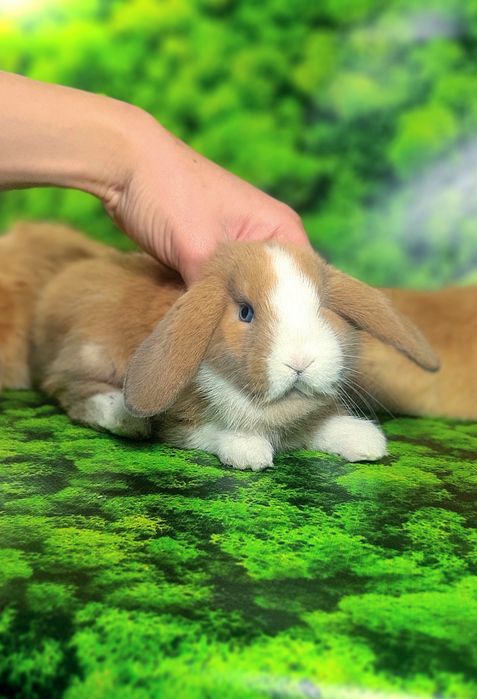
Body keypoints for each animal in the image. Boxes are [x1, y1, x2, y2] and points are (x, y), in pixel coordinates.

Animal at [0, 222, 439, 471]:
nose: (300, 361)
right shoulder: (180, 424)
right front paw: (250, 453)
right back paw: (126, 417)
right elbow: (213, 432)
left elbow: (322, 426)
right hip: (89, 355)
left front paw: (366, 442)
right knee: (71, 391)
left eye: (323, 307)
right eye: (245, 313)